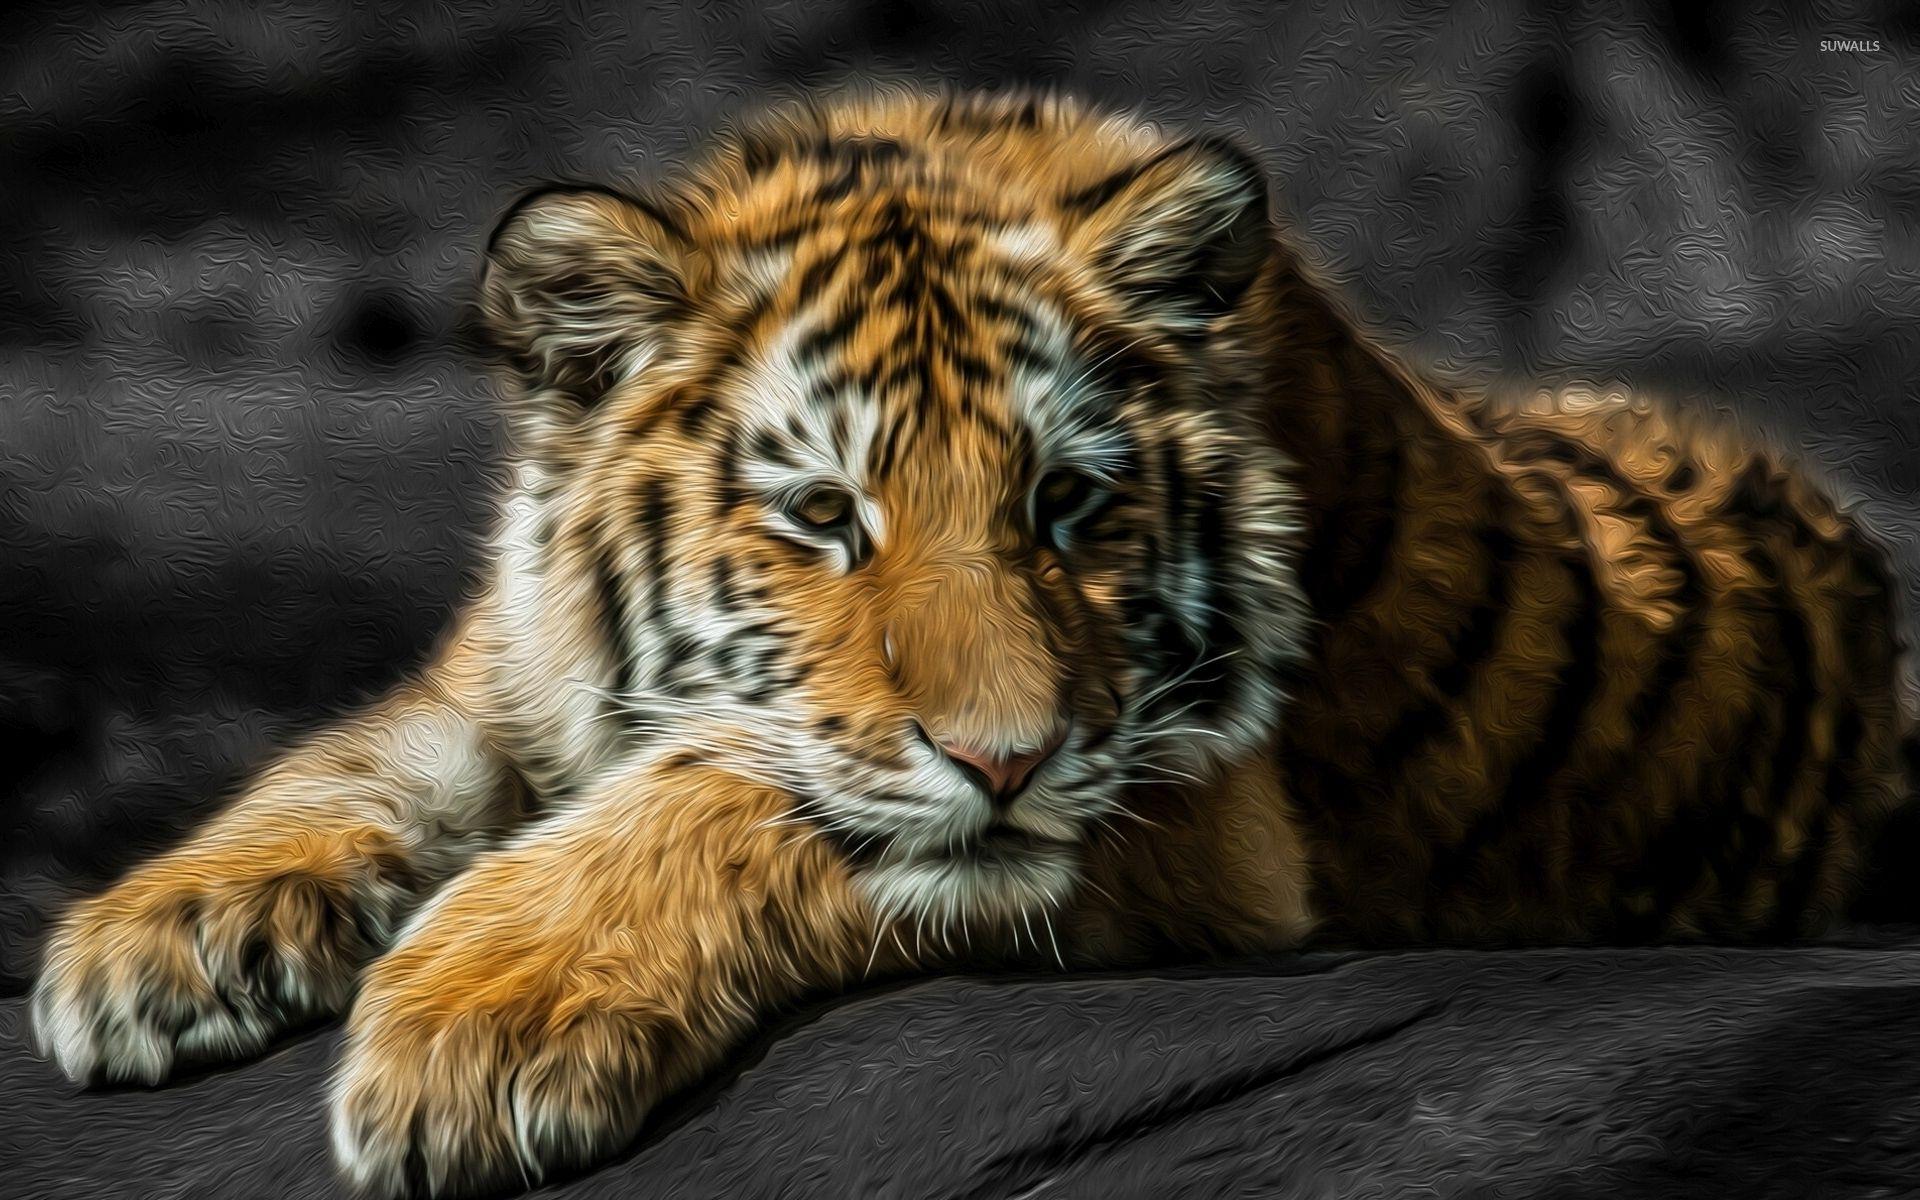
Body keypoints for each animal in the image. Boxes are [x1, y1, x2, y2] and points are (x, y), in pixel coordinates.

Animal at [29, 89, 1915, 1198]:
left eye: (1068, 505)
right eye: (822, 517)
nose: (1005, 758)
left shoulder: (1194, 808)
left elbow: (734, 795)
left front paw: (476, 1029)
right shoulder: (514, 675)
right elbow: (365, 756)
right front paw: (145, 946)